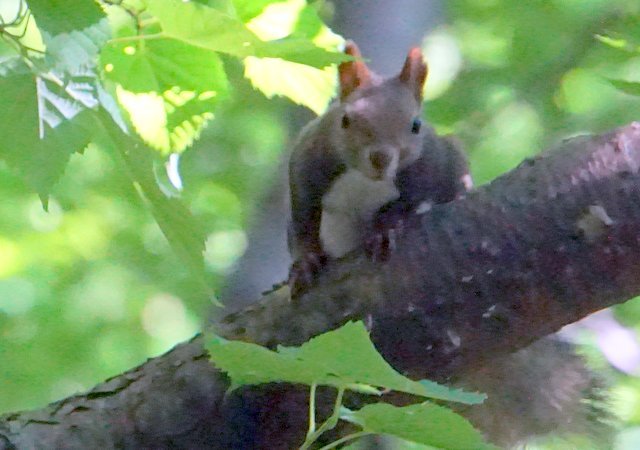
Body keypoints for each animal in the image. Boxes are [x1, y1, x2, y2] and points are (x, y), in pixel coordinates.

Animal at [290, 42, 470, 294]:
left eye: (416, 125)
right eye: (345, 120)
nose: (380, 158)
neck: (365, 180)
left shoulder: (435, 163)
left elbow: (409, 199)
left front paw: (384, 228)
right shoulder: (308, 157)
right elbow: (304, 215)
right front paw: (305, 260)